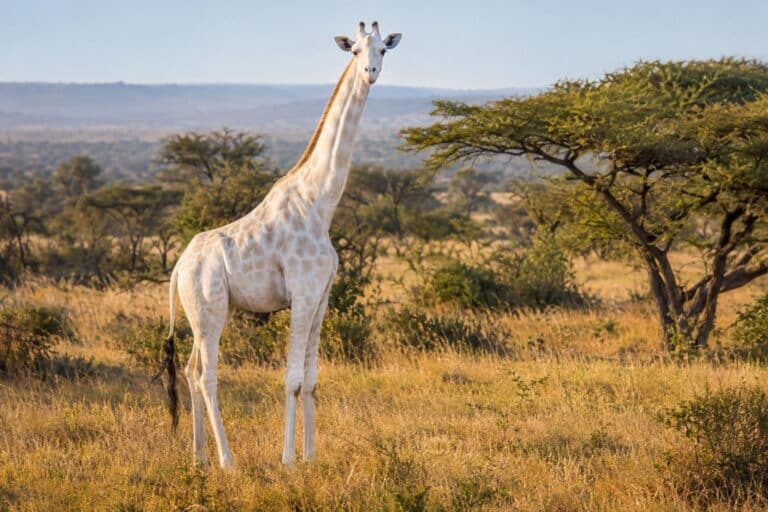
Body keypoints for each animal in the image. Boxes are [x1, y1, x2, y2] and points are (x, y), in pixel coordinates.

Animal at [158, 21, 402, 468]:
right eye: (354, 50)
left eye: (382, 50)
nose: (370, 73)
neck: (320, 202)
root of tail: (180, 267)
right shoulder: (302, 294)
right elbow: (291, 379)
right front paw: (288, 459)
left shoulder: (322, 297)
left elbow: (312, 379)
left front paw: (311, 456)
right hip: (210, 311)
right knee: (207, 375)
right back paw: (228, 461)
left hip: (203, 313)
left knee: (189, 370)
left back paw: (200, 458)